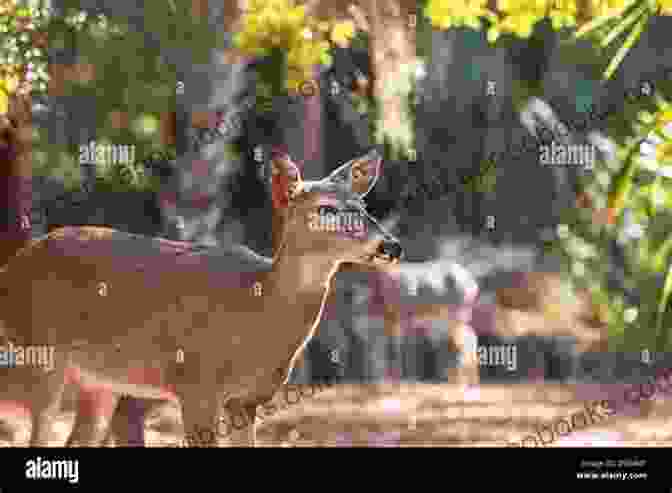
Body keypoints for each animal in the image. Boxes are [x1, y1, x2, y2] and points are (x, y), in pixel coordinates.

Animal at [0, 147, 402, 446]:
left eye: (364, 208)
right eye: (326, 208)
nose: (391, 246)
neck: (257, 309)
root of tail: (11, 268)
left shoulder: (246, 401)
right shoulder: (195, 384)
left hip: (99, 382)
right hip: (38, 354)